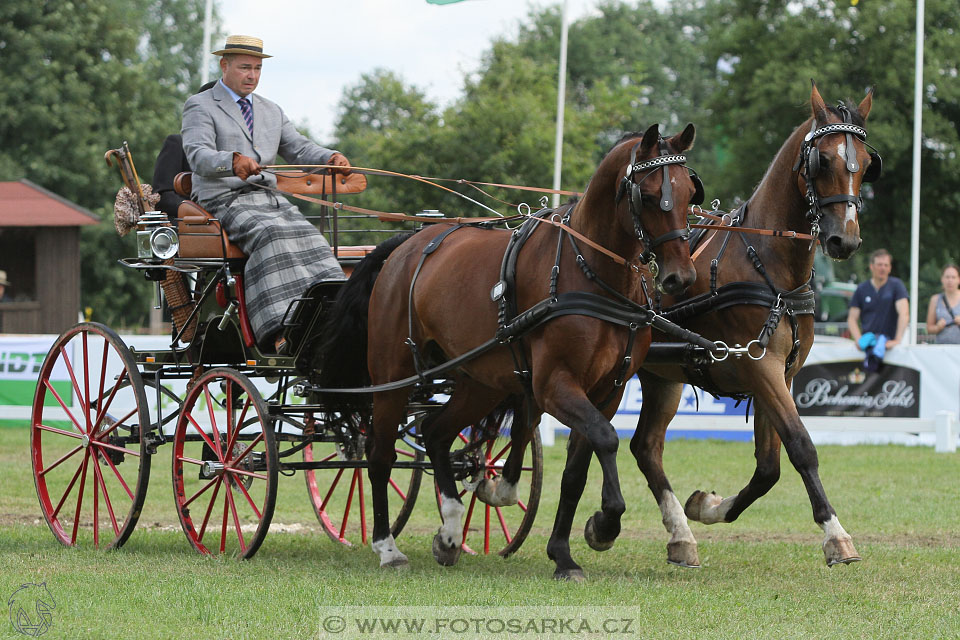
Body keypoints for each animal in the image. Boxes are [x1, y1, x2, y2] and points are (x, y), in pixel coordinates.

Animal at [318, 122, 700, 568]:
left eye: (690, 195)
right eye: (651, 196)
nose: (680, 278)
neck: (591, 271)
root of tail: (404, 244)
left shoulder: (609, 389)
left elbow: (577, 468)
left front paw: (563, 552)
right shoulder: (552, 385)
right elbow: (606, 438)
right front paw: (604, 525)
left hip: (480, 381)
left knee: (435, 432)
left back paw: (450, 531)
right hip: (393, 375)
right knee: (379, 455)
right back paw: (387, 545)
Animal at [552, 81, 880, 580]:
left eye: (864, 162)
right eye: (822, 161)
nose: (845, 239)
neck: (769, 264)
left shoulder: (779, 373)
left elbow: (769, 467)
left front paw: (707, 506)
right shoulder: (761, 368)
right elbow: (801, 447)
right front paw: (836, 536)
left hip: (661, 377)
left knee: (646, 447)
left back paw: (680, 536)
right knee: (594, 440)